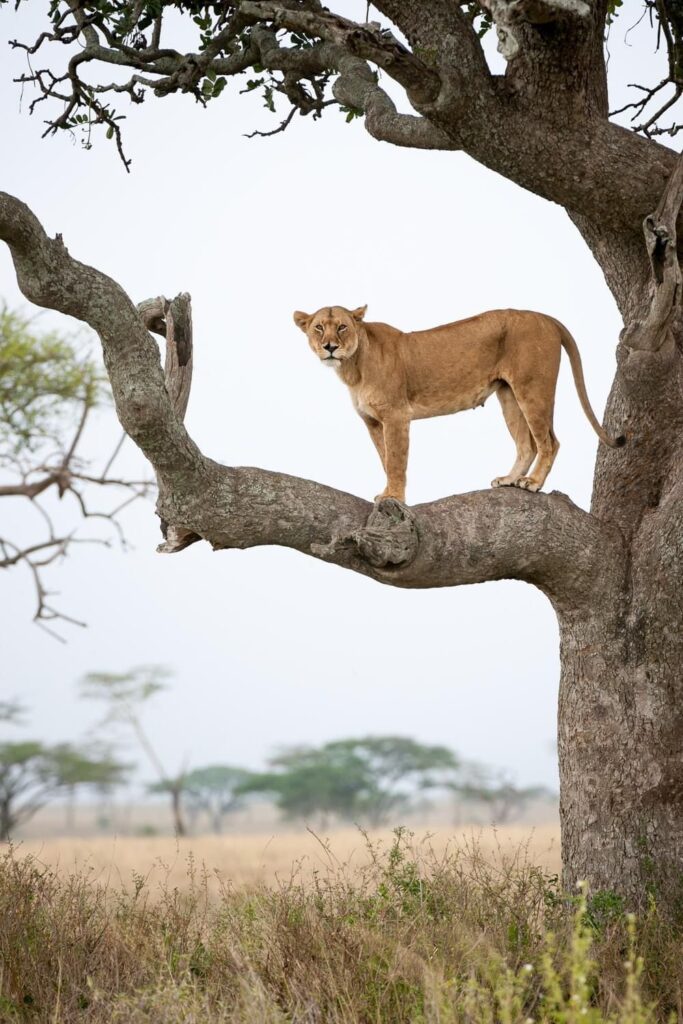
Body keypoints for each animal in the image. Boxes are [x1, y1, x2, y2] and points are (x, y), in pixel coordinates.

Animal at [293, 305, 624, 503]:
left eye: (342, 327)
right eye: (319, 327)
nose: (329, 346)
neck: (352, 367)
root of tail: (545, 316)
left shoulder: (396, 416)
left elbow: (397, 461)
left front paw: (395, 498)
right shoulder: (374, 422)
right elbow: (385, 459)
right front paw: (388, 492)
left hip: (533, 388)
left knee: (550, 441)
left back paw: (532, 482)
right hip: (509, 395)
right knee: (526, 443)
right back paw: (509, 479)